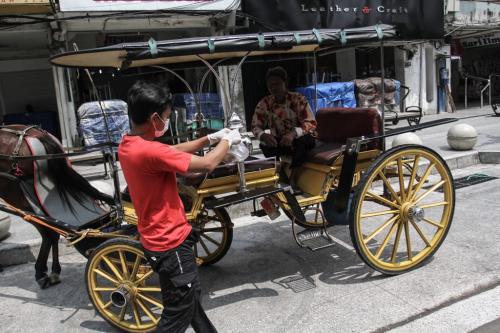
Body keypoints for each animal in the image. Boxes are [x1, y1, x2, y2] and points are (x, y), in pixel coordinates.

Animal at [0, 124, 111, 288]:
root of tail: (37, 134)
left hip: (18, 195)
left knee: (48, 232)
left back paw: (41, 272)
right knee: (53, 230)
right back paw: (53, 271)